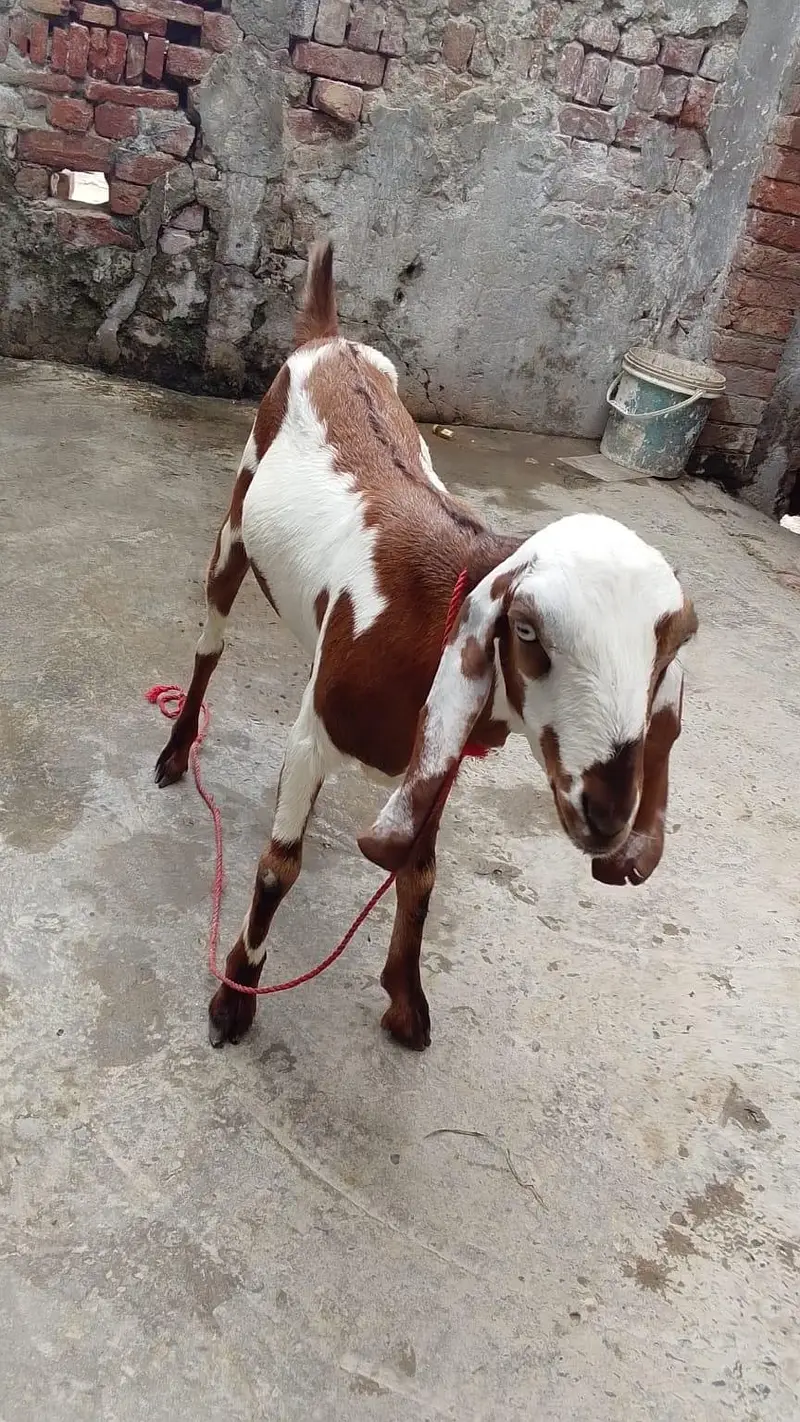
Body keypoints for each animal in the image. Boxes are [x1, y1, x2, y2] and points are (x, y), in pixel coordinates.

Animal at [155, 239, 698, 1052]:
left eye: (668, 649)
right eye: (527, 631)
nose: (606, 814)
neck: (429, 614)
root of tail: (329, 338)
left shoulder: (443, 753)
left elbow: (419, 871)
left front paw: (406, 1002)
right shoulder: (317, 736)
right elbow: (280, 867)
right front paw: (235, 998)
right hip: (233, 527)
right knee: (209, 645)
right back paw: (176, 749)